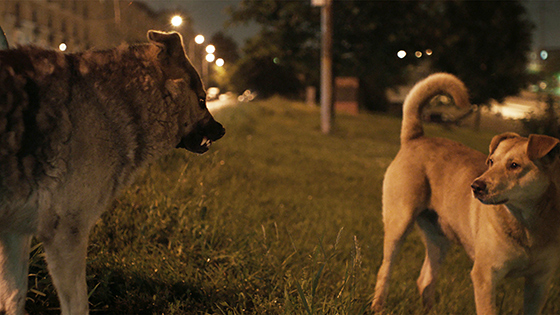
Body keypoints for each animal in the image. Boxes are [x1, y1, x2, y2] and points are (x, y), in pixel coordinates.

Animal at [372, 73, 560, 314]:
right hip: (399, 223)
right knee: (385, 270)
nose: (476, 186)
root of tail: (416, 138)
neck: (527, 224)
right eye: (491, 162)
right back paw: (378, 306)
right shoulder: (485, 276)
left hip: (439, 239)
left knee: (425, 280)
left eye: (514, 165)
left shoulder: (540, 282)